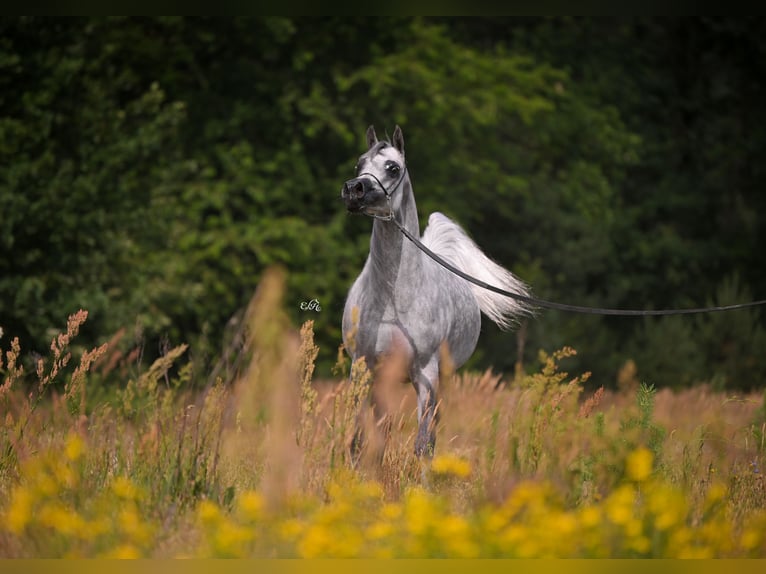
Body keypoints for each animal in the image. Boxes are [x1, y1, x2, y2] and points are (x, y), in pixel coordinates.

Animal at [340, 125, 532, 458]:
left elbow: (423, 444)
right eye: (359, 164)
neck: (394, 299)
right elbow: (360, 440)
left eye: (393, 168)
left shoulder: (426, 375)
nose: (354, 190)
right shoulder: (364, 371)